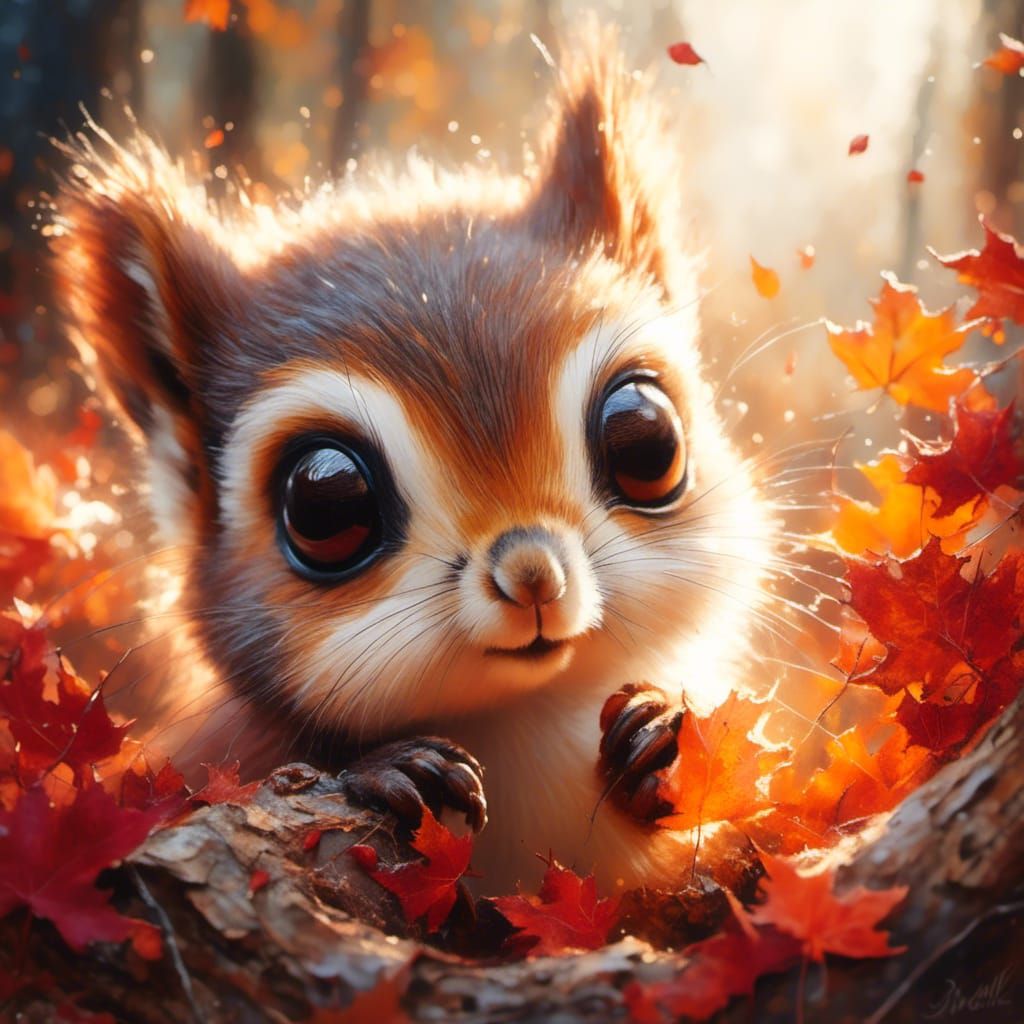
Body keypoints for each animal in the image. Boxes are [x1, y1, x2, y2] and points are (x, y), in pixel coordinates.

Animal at [50, 25, 774, 895]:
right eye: (325, 503)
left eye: (645, 437)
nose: (532, 573)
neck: (515, 722)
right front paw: (393, 770)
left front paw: (655, 732)